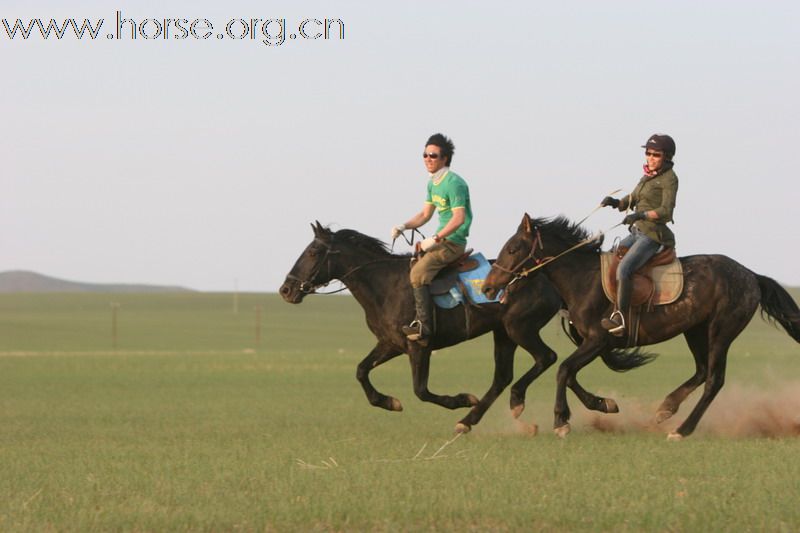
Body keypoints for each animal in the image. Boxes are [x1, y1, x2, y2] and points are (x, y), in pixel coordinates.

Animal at [278, 222, 652, 430]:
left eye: (312, 252)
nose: (285, 290)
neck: (384, 284)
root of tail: (545, 277)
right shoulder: (390, 344)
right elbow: (360, 371)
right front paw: (388, 401)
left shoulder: (418, 345)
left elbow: (421, 390)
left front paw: (460, 399)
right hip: (504, 334)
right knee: (522, 374)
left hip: (518, 328)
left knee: (547, 360)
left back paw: (506, 406)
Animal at [482, 214, 800, 438]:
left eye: (513, 248)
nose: (487, 287)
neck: (582, 279)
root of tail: (751, 276)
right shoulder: (594, 344)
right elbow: (570, 375)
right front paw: (604, 404)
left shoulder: (598, 340)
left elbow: (563, 370)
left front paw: (560, 420)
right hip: (695, 331)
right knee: (701, 371)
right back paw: (665, 409)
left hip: (721, 332)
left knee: (714, 380)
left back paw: (681, 430)